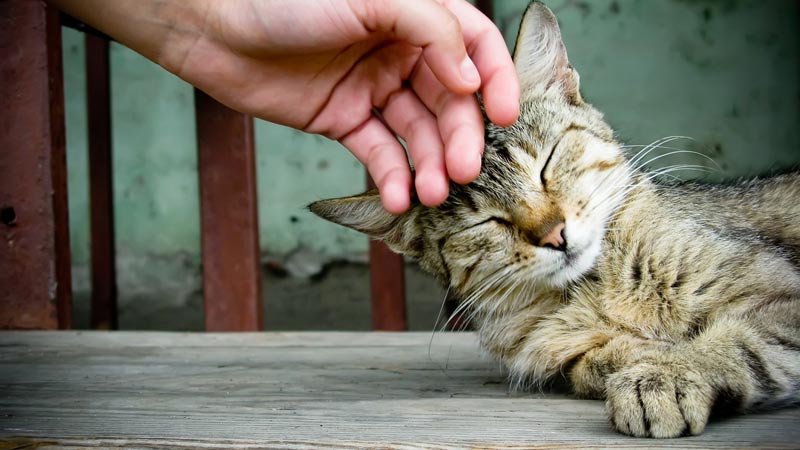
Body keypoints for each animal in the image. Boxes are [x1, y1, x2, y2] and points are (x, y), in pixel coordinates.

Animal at [308, 0, 800, 436]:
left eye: (545, 165)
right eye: (486, 222)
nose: (554, 235)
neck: (593, 290)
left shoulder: (783, 297)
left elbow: (736, 341)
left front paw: (668, 373)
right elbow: (590, 363)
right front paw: (636, 358)